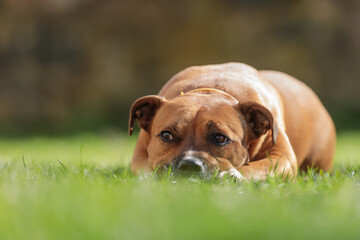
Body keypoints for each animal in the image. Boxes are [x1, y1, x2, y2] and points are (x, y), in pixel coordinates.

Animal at [128, 62, 336, 181]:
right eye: (166, 135)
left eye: (220, 138)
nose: (189, 165)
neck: (208, 90)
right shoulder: (139, 157)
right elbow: (147, 171)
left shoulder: (282, 157)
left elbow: (259, 168)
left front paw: (234, 175)